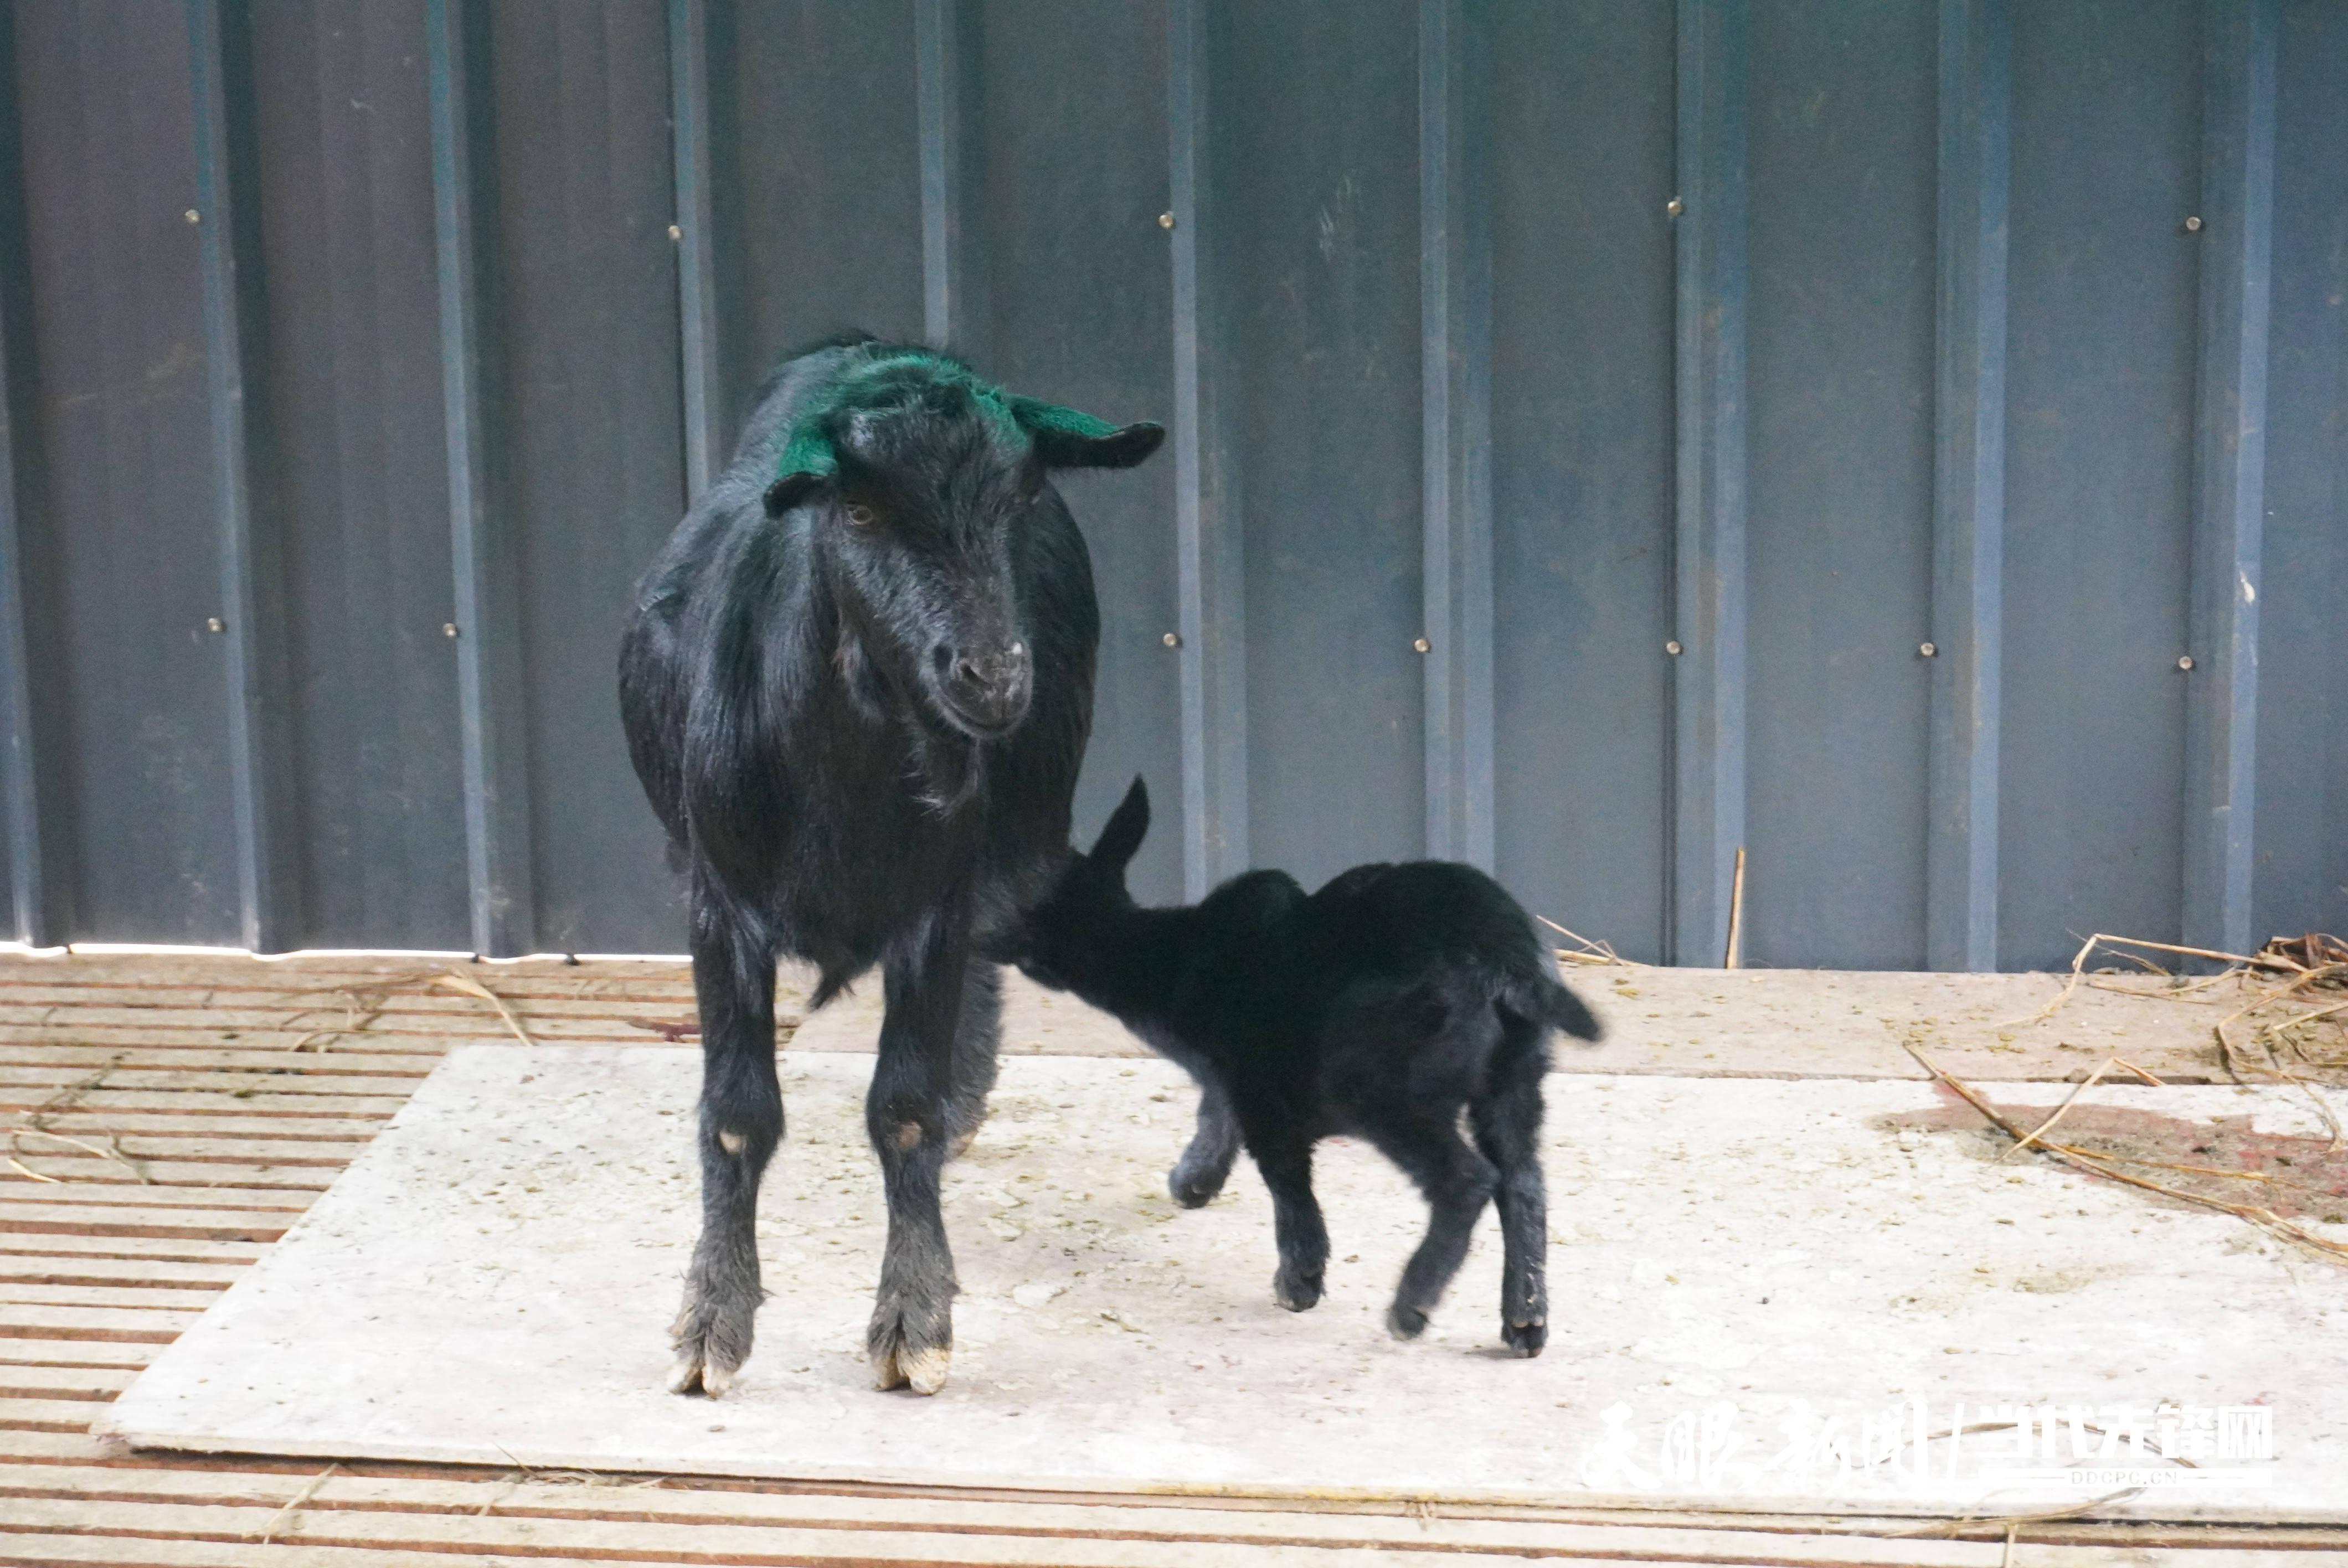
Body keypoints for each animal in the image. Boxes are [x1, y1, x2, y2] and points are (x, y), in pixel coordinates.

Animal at [624, 338, 1165, 1389]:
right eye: (860, 512)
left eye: (1021, 497)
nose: (993, 675)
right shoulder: (716, 901)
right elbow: (737, 1113)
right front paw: (712, 1320)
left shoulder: (938, 900)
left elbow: (905, 1109)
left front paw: (915, 1318)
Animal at [1010, 779, 1597, 1352]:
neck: (1171, 955)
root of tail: (1506, 959)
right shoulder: (1235, 1076)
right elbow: (1218, 1116)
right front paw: (1195, 1180)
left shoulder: (1262, 1094)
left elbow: (1285, 1182)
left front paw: (1300, 1281)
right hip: (1514, 1081)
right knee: (1523, 1182)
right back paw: (1525, 1319)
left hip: (1383, 1090)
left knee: (1468, 1180)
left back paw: (1412, 1305)